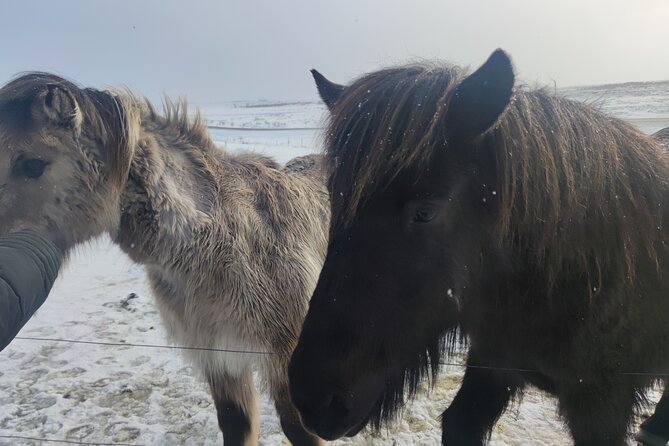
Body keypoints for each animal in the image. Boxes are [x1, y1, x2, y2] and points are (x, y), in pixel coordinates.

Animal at [288, 50, 669, 446]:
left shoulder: (601, 402)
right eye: (334, 197)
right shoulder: (492, 366)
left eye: (425, 212)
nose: (313, 399)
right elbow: (459, 420)